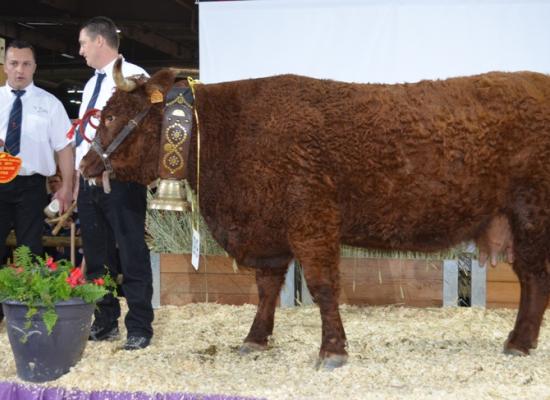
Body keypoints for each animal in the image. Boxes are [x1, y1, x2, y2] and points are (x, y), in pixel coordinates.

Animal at [80, 58, 550, 368]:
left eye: (112, 116)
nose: (85, 166)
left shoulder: (313, 221)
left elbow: (324, 287)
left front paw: (333, 351)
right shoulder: (268, 230)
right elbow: (267, 289)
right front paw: (255, 339)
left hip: (532, 216)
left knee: (535, 280)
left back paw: (519, 343)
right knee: (531, 281)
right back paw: (519, 341)